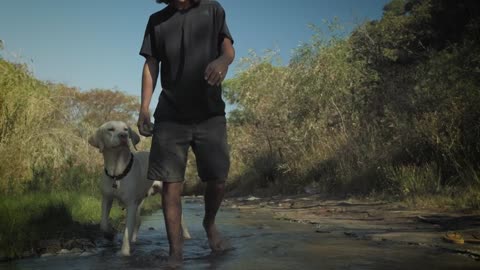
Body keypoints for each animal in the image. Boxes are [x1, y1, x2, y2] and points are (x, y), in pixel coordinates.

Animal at [89, 121, 190, 256]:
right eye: (110, 129)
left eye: (126, 129)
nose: (123, 136)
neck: (117, 171)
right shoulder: (106, 198)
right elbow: (103, 224)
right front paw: (109, 234)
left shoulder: (130, 204)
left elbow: (127, 232)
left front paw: (124, 253)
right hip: (140, 200)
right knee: (138, 221)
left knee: (181, 219)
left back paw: (186, 236)